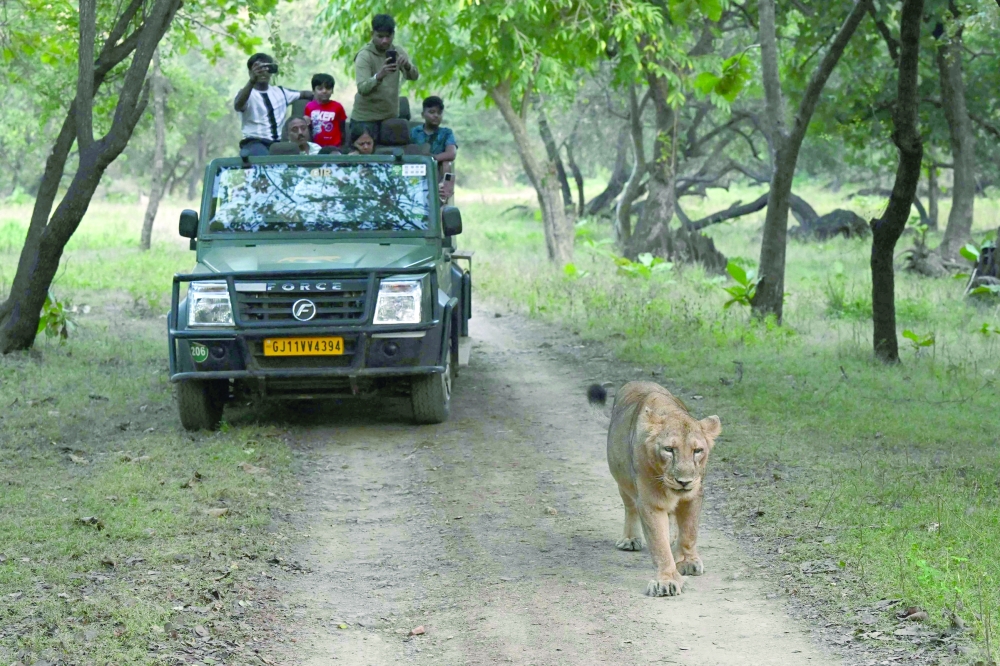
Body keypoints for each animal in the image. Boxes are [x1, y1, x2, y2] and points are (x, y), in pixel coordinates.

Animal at [589, 382, 721, 597]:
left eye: (697, 451)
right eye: (669, 449)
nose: (684, 481)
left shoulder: (694, 495)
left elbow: (689, 531)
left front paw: (687, 561)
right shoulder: (651, 501)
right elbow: (659, 543)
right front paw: (667, 581)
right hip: (623, 481)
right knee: (630, 508)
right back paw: (630, 539)